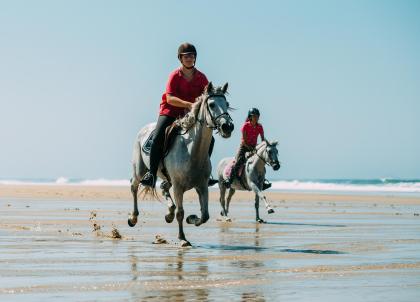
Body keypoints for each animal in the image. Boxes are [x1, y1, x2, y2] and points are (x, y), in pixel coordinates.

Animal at [128, 82, 233, 245]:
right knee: (134, 187)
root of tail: (144, 129)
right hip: (139, 170)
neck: (192, 151)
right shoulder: (178, 187)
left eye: (227, 104)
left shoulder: (202, 186)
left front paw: (192, 218)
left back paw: (168, 214)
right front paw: (183, 239)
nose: (227, 127)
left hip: (167, 178)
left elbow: (205, 215)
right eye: (212, 104)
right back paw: (133, 218)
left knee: (164, 188)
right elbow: (181, 213)